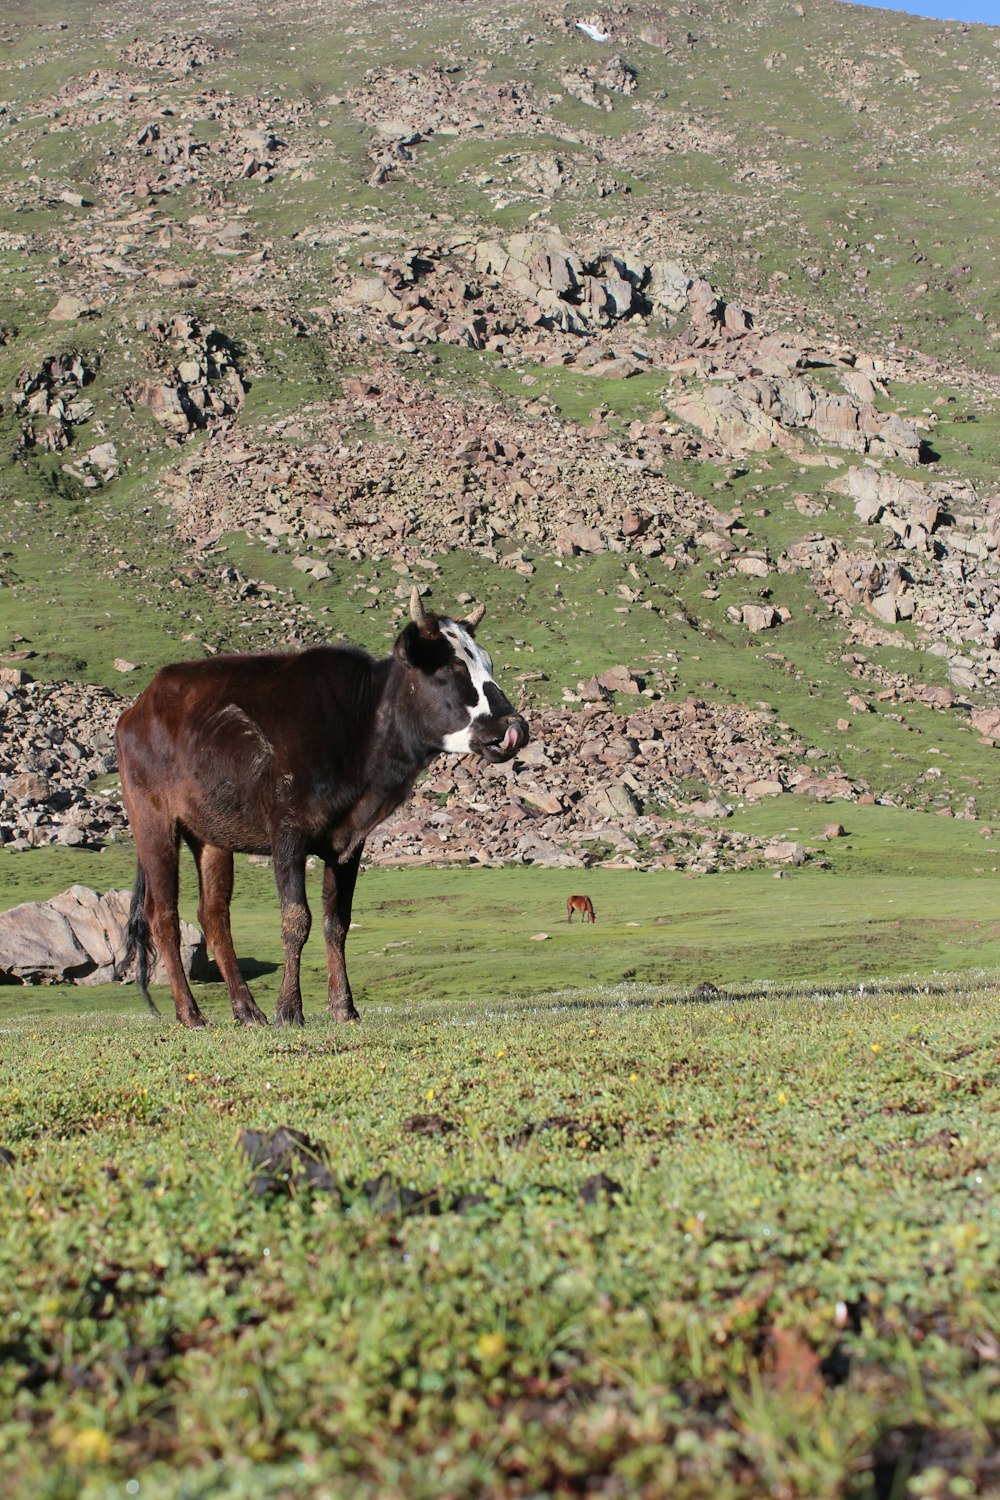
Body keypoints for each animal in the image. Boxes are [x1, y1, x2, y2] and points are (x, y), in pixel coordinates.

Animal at [118, 591, 530, 1026]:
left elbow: (338, 922)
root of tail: (140, 706)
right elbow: (296, 920)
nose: (515, 727)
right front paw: (289, 1010)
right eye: (451, 666)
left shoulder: (348, 841)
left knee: (214, 915)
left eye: (487, 662)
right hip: (153, 821)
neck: (362, 730)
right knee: (163, 915)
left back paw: (248, 1011)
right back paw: (191, 1013)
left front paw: (343, 1007)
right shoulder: (287, 832)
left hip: (210, 834)